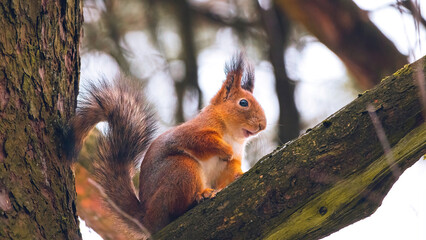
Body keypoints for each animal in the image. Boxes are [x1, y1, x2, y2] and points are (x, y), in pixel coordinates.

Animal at [65, 53, 266, 236]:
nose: (263, 125)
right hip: (182, 170)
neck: (232, 135)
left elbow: (231, 171)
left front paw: (240, 174)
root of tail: (148, 220)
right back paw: (200, 196)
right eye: (243, 103)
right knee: (177, 209)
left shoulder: (231, 162)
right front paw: (224, 149)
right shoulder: (191, 132)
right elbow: (201, 142)